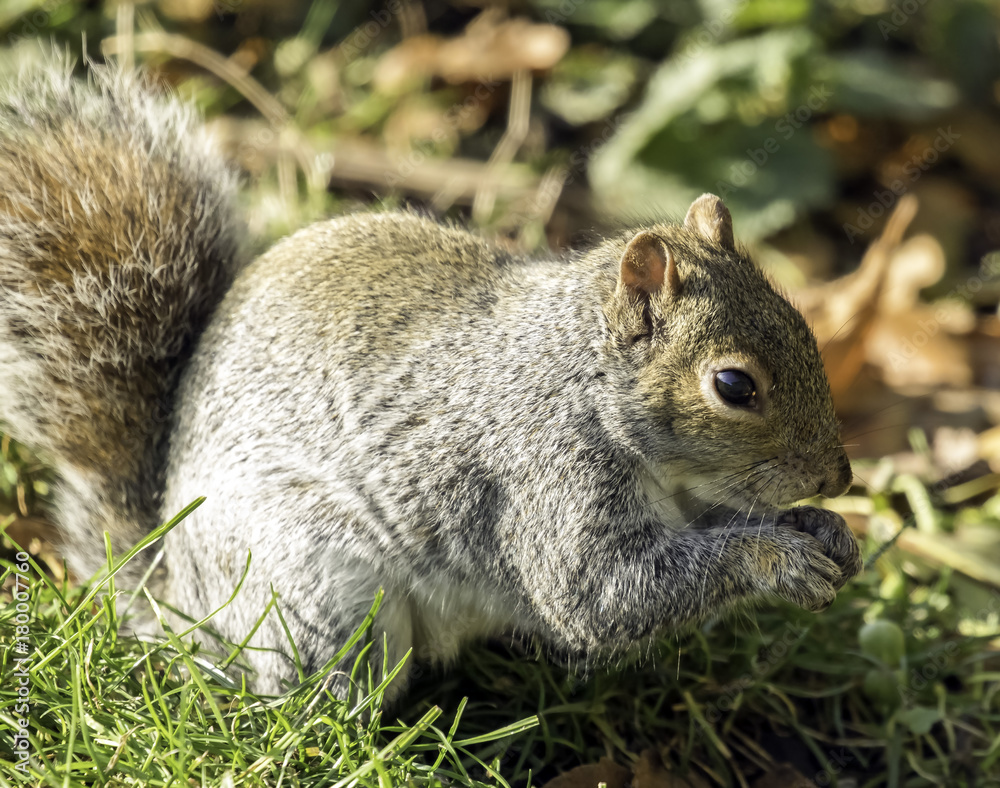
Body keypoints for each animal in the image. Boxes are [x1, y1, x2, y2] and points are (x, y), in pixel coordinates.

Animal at [0, 60, 861, 697]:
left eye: (802, 319)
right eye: (734, 387)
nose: (841, 477)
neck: (584, 385)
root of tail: (184, 600)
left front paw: (824, 530)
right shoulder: (544, 478)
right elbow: (606, 594)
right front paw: (776, 560)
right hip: (315, 592)